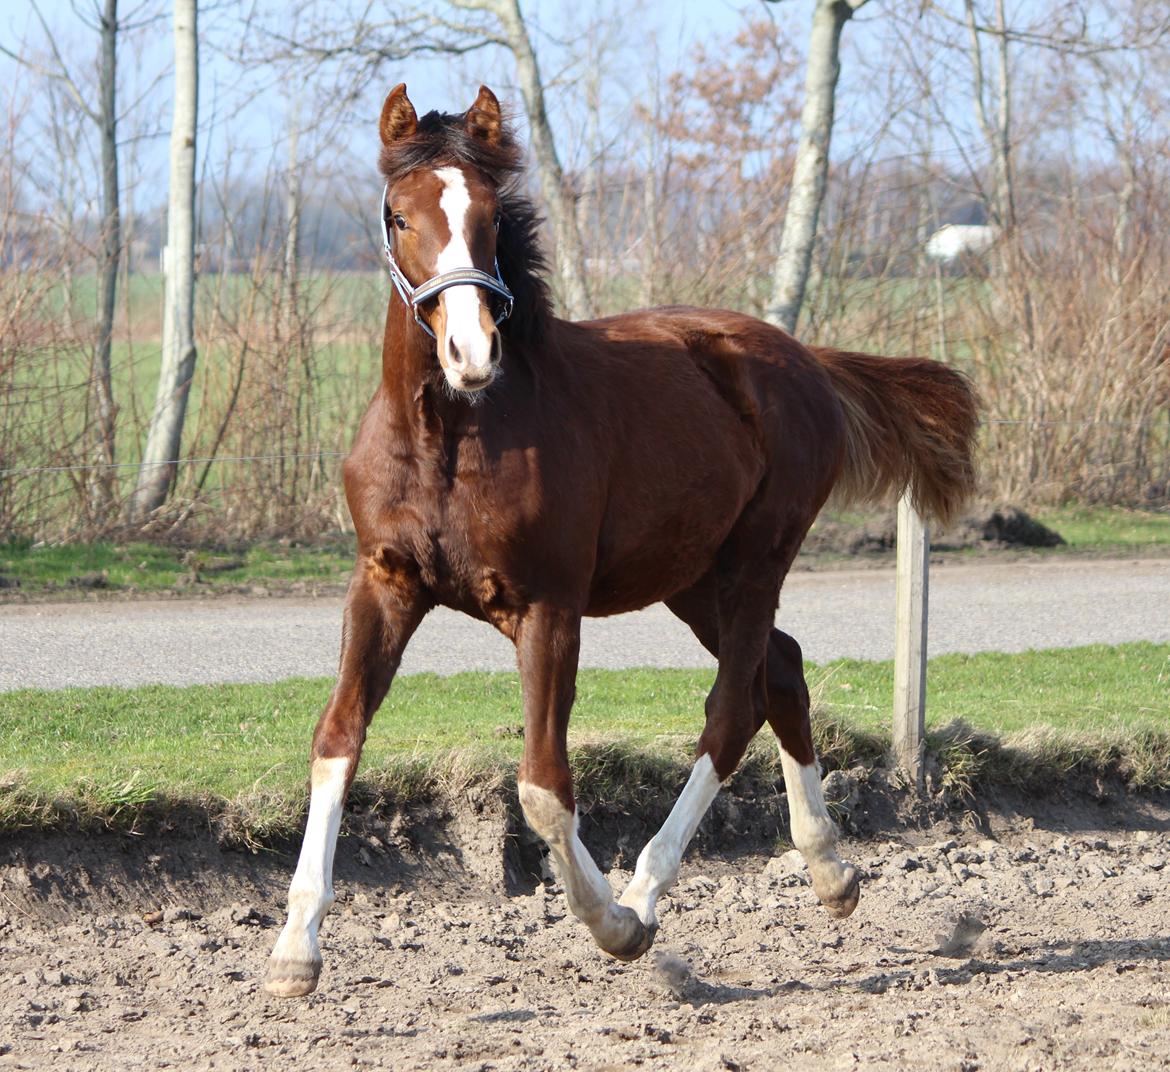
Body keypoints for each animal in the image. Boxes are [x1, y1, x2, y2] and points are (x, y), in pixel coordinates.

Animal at [263, 83, 978, 997]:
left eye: (491, 215)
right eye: (397, 215)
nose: (470, 350)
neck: (450, 436)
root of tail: (807, 360)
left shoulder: (547, 608)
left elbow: (541, 785)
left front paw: (613, 925)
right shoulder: (384, 584)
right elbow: (336, 740)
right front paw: (294, 950)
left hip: (757, 561)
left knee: (733, 706)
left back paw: (645, 892)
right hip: (691, 577)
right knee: (781, 671)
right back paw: (830, 871)